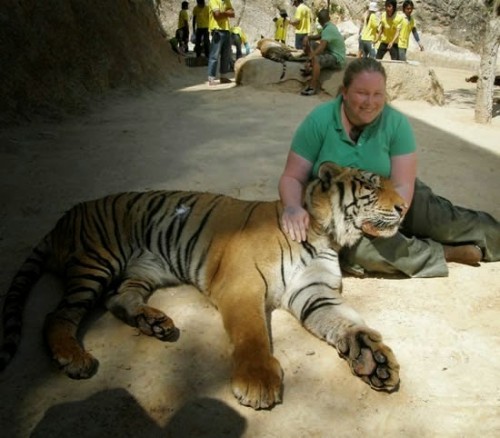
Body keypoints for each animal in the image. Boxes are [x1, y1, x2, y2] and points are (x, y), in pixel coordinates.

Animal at [0, 163, 404, 408]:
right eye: (371, 184)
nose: (403, 207)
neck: (325, 235)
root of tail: (65, 217)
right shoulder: (242, 284)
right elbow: (252, 334)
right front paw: (258, 383)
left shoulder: (314, 293)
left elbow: (350, 324)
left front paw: (375, 360)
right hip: (96, 261)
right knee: (58, 314)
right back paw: (74, 357)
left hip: (144, 268)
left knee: (118, 299)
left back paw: (154, 322)